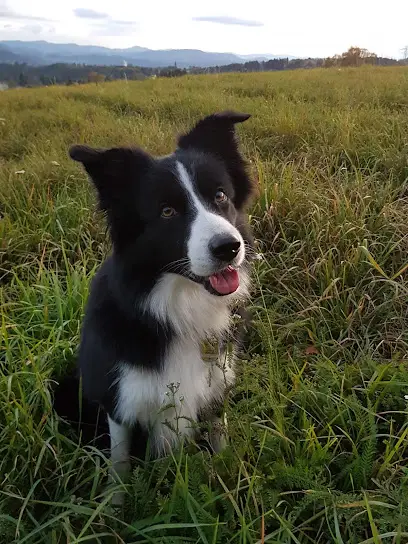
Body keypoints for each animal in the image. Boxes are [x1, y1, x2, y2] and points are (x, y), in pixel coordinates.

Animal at [59, 110, 255, 506]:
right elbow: (119, 458)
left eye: (220, 195)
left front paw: (227, 478)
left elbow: (219, 436)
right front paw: (114, 507)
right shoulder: (119, 395)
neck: (178, 305)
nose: (229, 247)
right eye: (167, 212)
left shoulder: (217, 385)